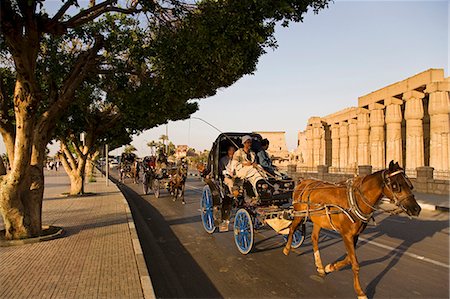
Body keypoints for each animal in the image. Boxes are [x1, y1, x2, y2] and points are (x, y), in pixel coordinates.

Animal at [284, 163, 422, 298]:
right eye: (395, 186)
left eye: (409, 184)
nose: (416, 208)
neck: (356, 200)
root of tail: (303, 181)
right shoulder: (346, 235)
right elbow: (355, 263)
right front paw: (360, 292)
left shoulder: (355, 235)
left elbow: (349, 259)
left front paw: (330, 267)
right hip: (299, 214)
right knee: (292, 228)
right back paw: (287, 249)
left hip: (318, 220)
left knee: (314, 238)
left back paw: (320, 266)